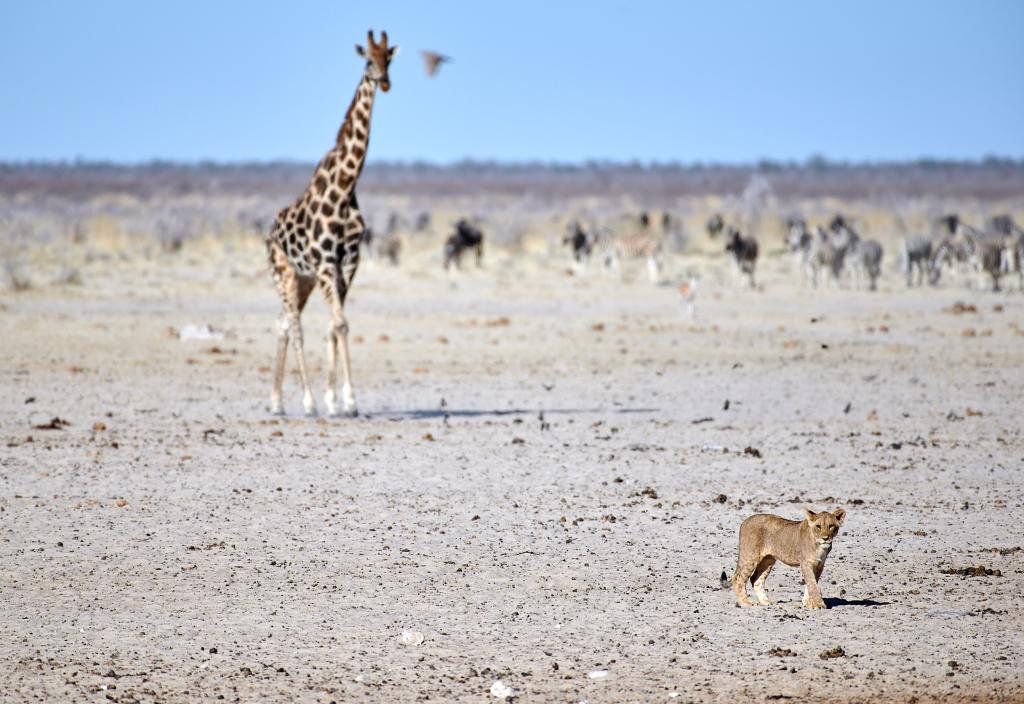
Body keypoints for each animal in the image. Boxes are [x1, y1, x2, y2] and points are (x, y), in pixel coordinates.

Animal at [266, 31, 397, 417]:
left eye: (389, 58)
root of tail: (268, 233)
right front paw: (344, 400)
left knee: (282, 322)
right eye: (368, 60)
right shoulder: (326, 261)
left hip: (304, 279)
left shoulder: (348, 261)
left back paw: (277, 401)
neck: (345, 186)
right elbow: (338, 322)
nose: (385, 82)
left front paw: (336, 399)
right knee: (293, 325)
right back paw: (305, 402)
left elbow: (335, 324)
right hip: (285, 273)